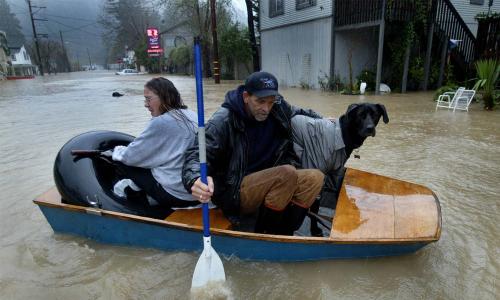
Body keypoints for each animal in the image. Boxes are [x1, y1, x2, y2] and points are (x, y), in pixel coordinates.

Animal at [292, 103, 388, 237]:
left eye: (375, 114)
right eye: (360, 115)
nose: (370, 128)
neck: (342, 133)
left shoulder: (336, 173)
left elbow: (338, 195)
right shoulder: (317, 169)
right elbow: (315, 205)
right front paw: (315, 230)